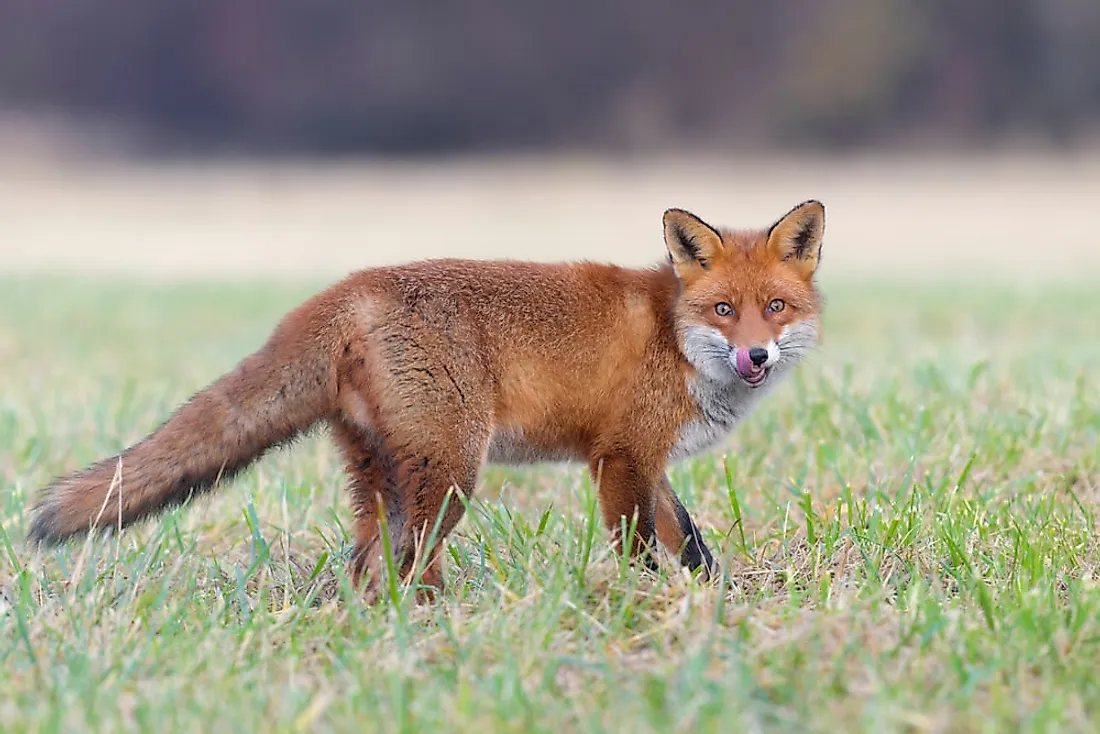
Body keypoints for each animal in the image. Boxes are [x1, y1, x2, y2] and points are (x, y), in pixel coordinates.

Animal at [25, 199, 827, 598]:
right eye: (724, 310)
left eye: (775, 308)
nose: (756, 355)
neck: (673, 333)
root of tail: (346, 288)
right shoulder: (622, 456)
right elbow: (642, 550)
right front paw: (650, 608)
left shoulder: (648, 461)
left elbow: (691, 542)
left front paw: (719, 602)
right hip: (451, 474)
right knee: (400, 560)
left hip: (387, 474)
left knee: (368, 562)